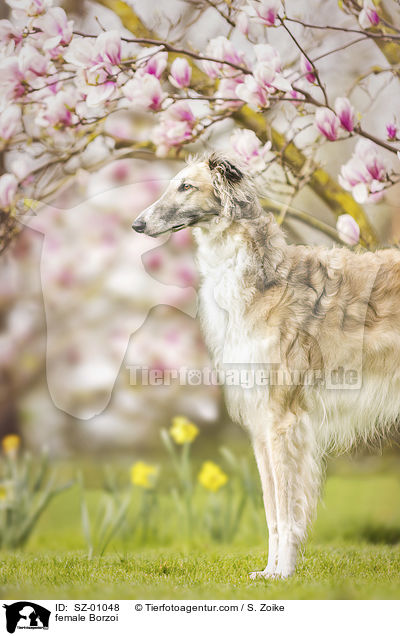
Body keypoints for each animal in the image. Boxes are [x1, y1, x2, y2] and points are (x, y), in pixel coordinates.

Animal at [133, 153, 400, 576]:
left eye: (185, 186)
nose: (137, 224)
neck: (265, 281)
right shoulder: (261, 424)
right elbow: (272, 509)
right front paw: (269, 572)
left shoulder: (283, 420)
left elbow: (288, 510)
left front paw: (285, 573)